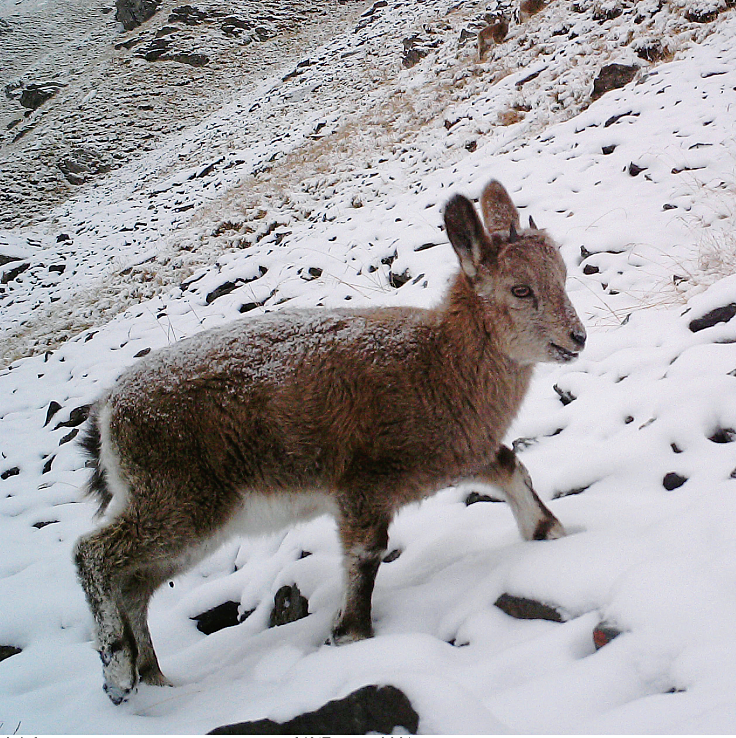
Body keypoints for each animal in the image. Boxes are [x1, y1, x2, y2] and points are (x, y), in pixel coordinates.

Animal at [75, 178, 588, 700]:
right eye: (520, 289)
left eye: (563, 275)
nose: (577, 337)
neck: (437, 366)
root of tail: (108, 414)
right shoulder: (362, 487)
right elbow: (366, 554)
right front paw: (350, 633)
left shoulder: (459, 452)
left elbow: (509, 467)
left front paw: (549, 532)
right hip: (177, 500)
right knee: (94, 553)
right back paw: (118, 669)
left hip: (195, 521)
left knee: (135, 584)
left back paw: (153, 676)